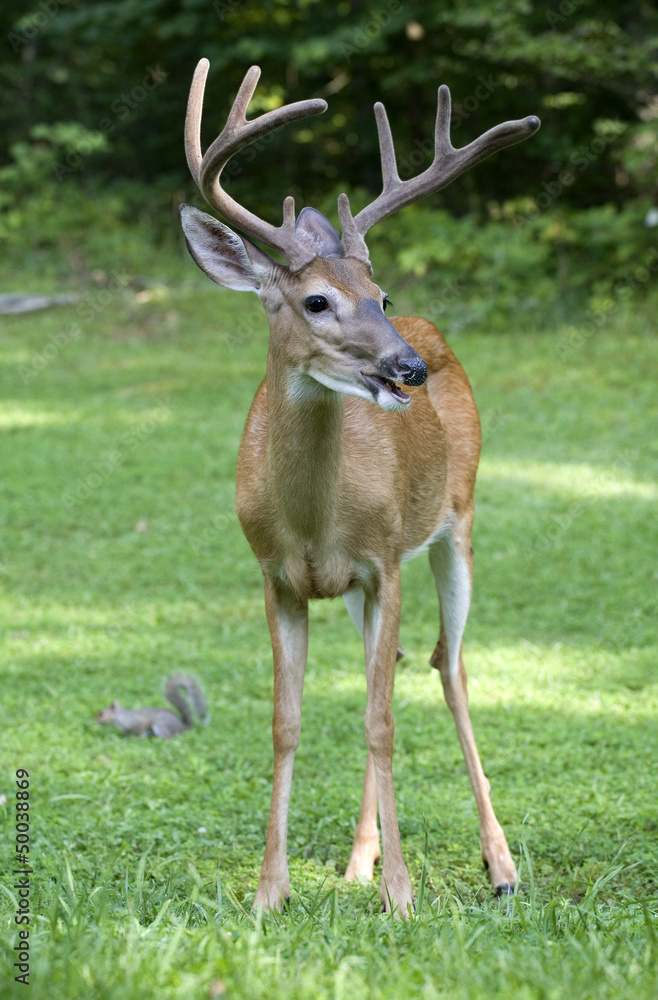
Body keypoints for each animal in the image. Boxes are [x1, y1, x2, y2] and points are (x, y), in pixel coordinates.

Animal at [179, 56, 540, 916]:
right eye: (316, 300)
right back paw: (355, 862)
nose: (406, 367)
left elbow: (380, 724)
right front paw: (269, 892)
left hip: (454, 527)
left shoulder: (383, 558)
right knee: (403, 660)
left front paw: (403, 898)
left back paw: (501, 865)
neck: (312, 519)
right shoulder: (278, 576)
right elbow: (287, 721)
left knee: (450, 665)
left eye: (380, 298)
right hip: (357, 588)